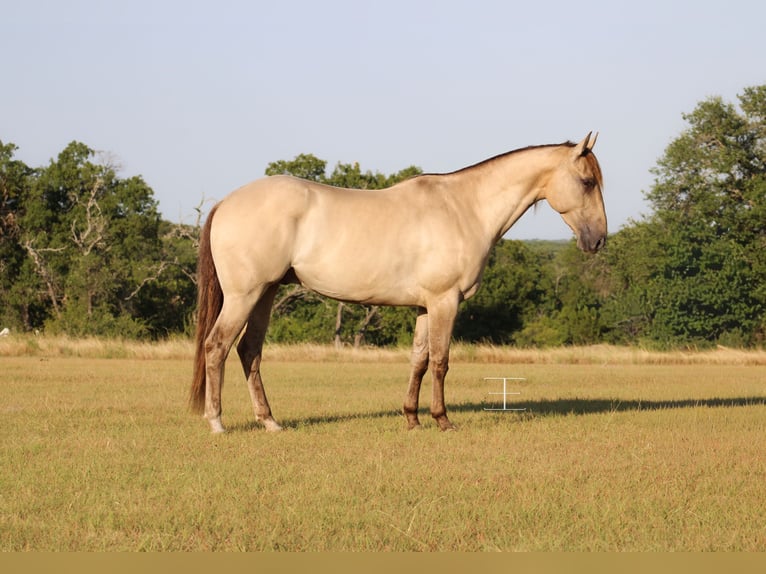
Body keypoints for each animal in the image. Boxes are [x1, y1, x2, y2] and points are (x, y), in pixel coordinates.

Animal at [190, 133, 606, 433]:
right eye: (587, 182)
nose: (599, 240)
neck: (465, 207)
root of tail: (226, 202)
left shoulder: (425, 306)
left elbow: (418, 361)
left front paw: (412, 418)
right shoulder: (445, 301)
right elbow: (440, 361)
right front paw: (442, 420)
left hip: (266, 293)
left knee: (249, 351)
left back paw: (270, 421)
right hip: (244, 295)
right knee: (216, 346)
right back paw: (217, 422)